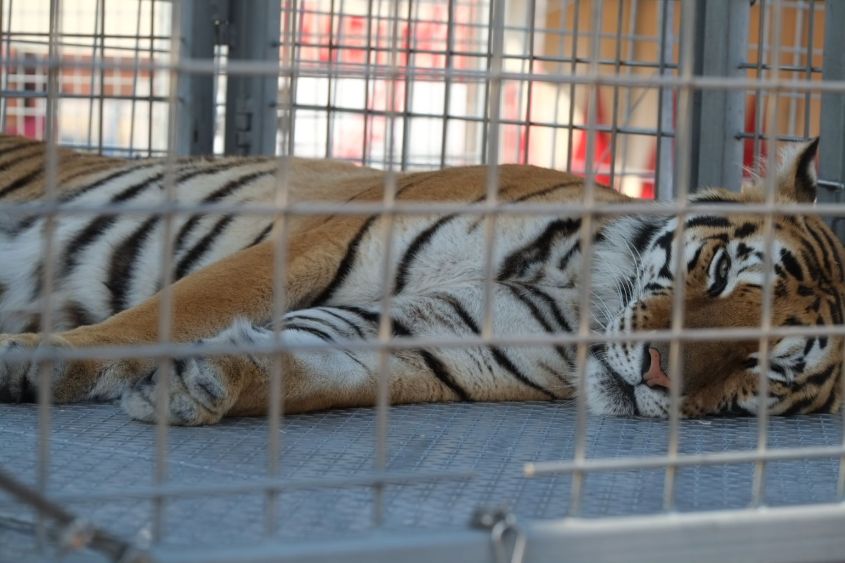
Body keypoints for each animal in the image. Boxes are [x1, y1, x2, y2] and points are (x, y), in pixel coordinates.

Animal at [0, 134, 841, 425]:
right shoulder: (315, 239)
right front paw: (40, 357)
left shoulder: (429, 337)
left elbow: (316, 362)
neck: (581, 294)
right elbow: (171, 309)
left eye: (754, 373)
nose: (662, 374)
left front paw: (204, 383)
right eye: (721, 273)